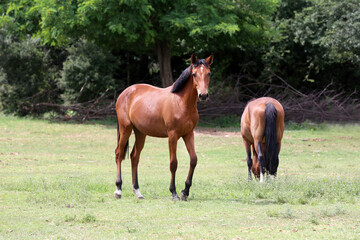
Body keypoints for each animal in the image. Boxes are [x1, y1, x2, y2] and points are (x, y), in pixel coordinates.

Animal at [114, 54, 212, 201]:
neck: (181, 102)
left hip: (140, 133)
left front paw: (185, 191)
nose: (203, 95)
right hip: (125, 128)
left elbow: (193, 160)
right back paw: (118, 189)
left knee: (134, 156)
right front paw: (174, 192)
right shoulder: (172, 136)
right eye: (194, 74)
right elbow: (173, 163)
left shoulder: (189, 134)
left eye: (209, 73)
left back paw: (137, 191)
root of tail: (125, 93)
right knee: (119, 154)